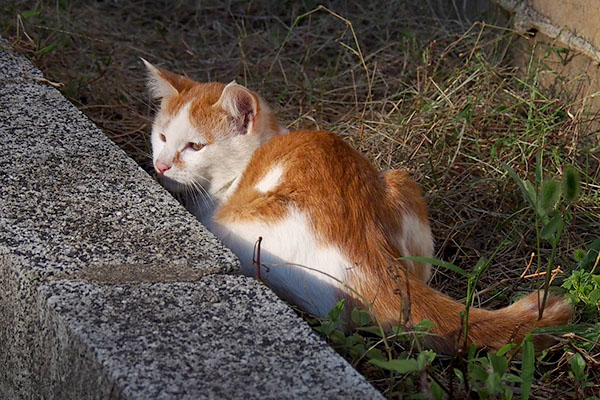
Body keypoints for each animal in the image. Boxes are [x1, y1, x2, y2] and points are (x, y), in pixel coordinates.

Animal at [142, 59, 572, 354]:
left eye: (194, 146)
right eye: (161, 136)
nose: (160, 165)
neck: (253, 158)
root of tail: (368, 247)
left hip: (243, 234)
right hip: (400, 181)